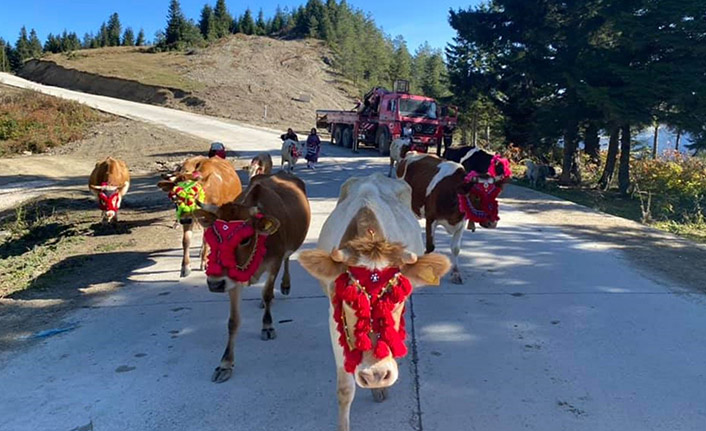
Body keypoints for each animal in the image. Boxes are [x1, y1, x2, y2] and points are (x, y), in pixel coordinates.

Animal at [192, 170, 308, 384]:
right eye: (214, 235)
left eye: (245, 239)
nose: (214, 284)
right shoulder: (231, 280)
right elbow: (233, 321)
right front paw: (225, 364)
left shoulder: (274, 263)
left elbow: (267, 293)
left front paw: (267, 326)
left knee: (288, 258)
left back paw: (285, 285)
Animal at [396, 150, 512, 286]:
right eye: (476, 196)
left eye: (495, 195)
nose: (492, 223)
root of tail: (411, 153)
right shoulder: (431, 219)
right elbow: (430, 247)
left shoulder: (461, 223)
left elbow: (456, 249)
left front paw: (456, 274)